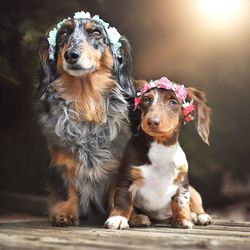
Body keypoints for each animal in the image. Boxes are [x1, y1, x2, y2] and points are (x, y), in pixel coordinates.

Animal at [36, 11, 135, 227]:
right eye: (63, 34)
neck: (86, 102)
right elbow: (66, 187)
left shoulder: (119, 160)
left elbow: (118, 191)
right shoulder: (59, 157)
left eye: (96, 33)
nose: (71, 55)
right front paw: (65, 213)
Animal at [104, 77, 212, 229]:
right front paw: (118, 218)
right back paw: (138, 218)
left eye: (173, 102)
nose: (152, 122)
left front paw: (183, 219)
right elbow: (123, 201)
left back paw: (199, 215)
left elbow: (181, 201)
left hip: (193, 191)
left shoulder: (182, 182)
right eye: (146, 99)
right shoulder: (127, 179)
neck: (161, 148)